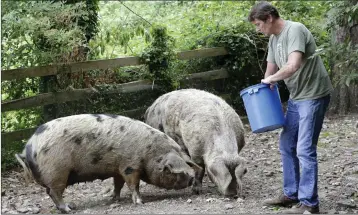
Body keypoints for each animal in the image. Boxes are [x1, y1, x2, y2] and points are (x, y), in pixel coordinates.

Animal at [15, 114, 200, 213]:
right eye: (172, 171)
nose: (192, 179)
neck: (150, 153)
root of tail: (28, 148)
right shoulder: (130, 166)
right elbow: (133, 185)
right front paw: (140, 202)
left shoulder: (118, 168)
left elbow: (118, 184)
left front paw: (114, 198)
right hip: (57, 172)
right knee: (54, 192)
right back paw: (69, 208)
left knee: (49, 192)